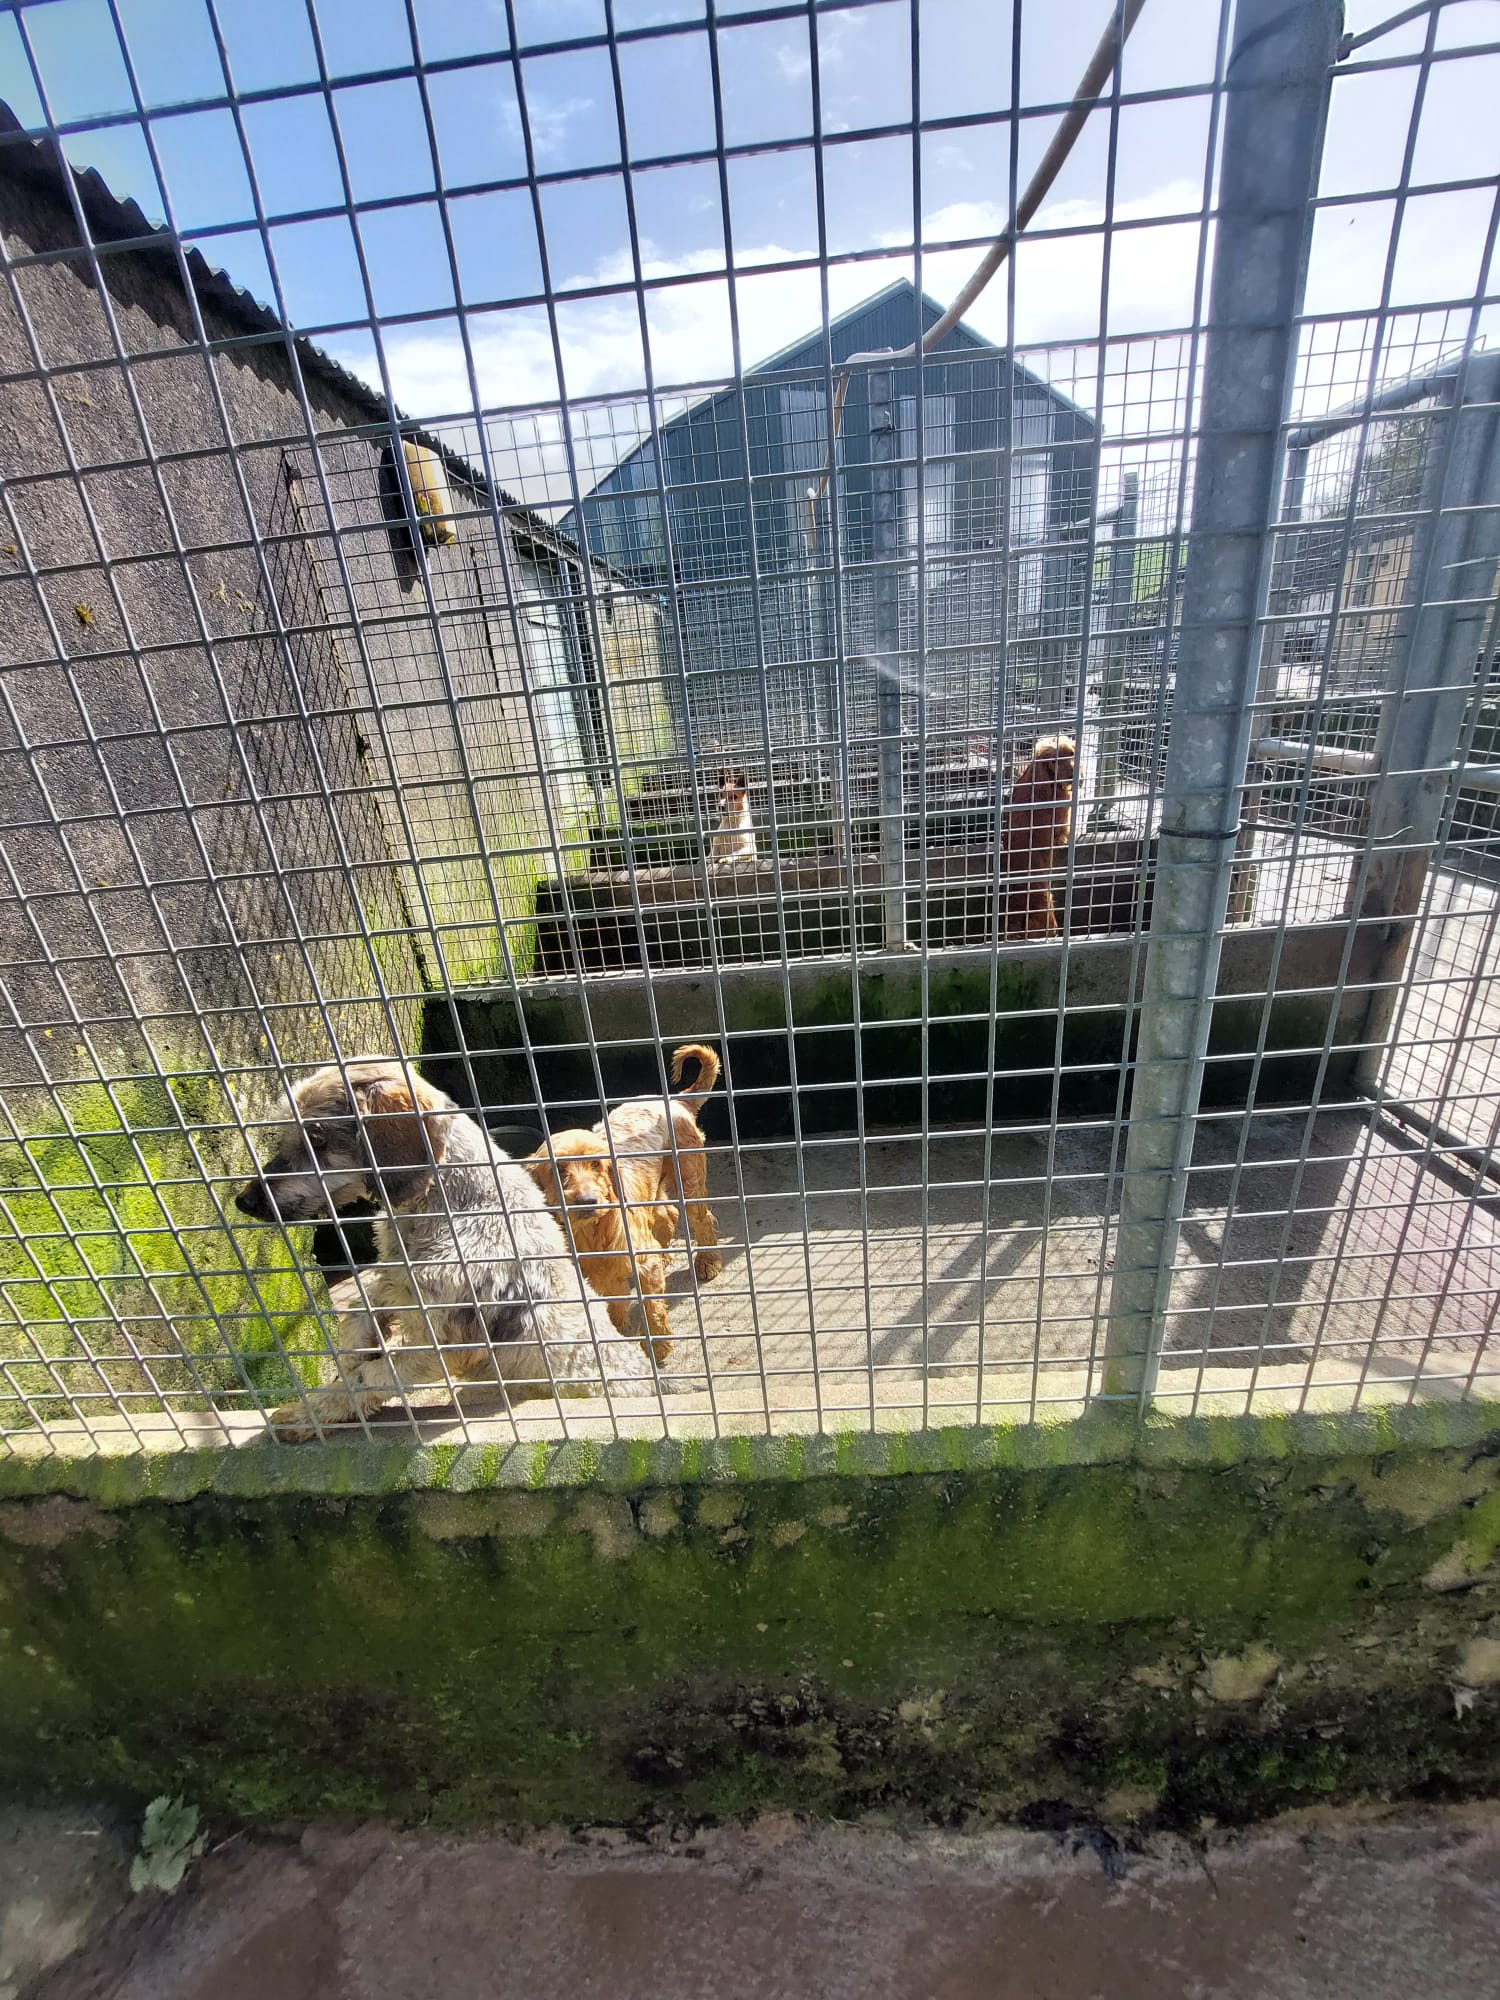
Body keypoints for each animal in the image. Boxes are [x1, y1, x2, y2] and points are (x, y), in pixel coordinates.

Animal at [235, 1064, 680, 1440]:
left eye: (318, 1139)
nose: (245, 1201)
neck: (451, 1205)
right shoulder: (395, 1278)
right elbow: (363, 1311)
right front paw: (356, 1348)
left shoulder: (442, 1347)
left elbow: (368, 1378)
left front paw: (306, 1414)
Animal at [524, 1048, 724, 1360]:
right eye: (559, 1170)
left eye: (596, 1164)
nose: (587, 1201)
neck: (591, 1234)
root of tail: (675, 1101)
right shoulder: (597, 1275)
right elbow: (611, 1301)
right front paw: (616, 1329)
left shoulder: (642, 1267)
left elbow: (651, 1307)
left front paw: (658, 1345)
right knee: (668, 1213)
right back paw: (665, 1252)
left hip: (689, 1179)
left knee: (701, 1220)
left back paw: (707, 1261)